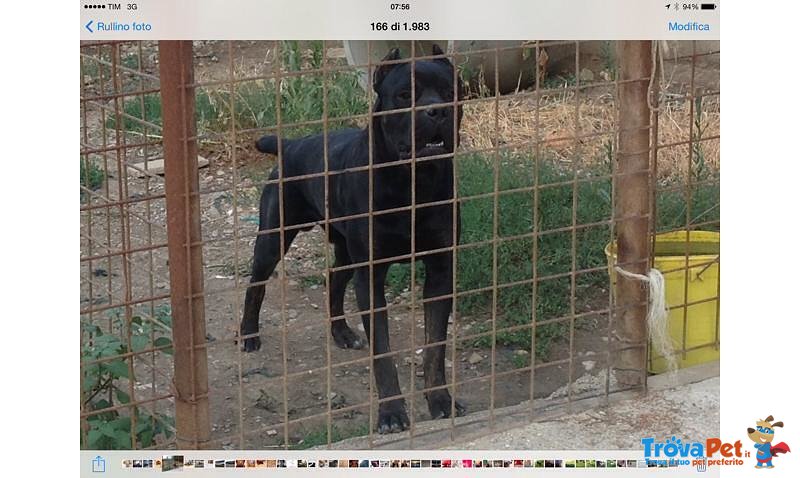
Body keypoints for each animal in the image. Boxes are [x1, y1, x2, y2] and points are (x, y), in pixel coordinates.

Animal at [239, 45, 462, 434]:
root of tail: (290, 142)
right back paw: (250, 334)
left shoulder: (440, 271)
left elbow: (435, 349)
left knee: (334, 279)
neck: (414, 182)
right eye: (405, 95)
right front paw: (391, 413)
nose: (437, 111)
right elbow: (383, 354)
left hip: (345, 252)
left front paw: (441, 401)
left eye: (451, 92)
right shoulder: (371, 276)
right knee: (256, 285)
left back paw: (341, 332)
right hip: (273, 239)